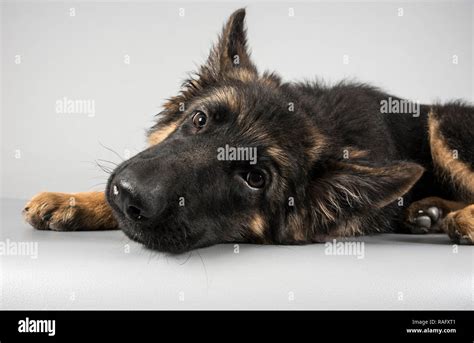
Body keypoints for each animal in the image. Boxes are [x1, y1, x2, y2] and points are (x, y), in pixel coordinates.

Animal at [23, 9, 474, 254]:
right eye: (200, 120)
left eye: (255, 178)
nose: (132, 195)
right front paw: (73, 201)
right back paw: (428, 212)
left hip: (444, 124)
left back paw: (456, 218)